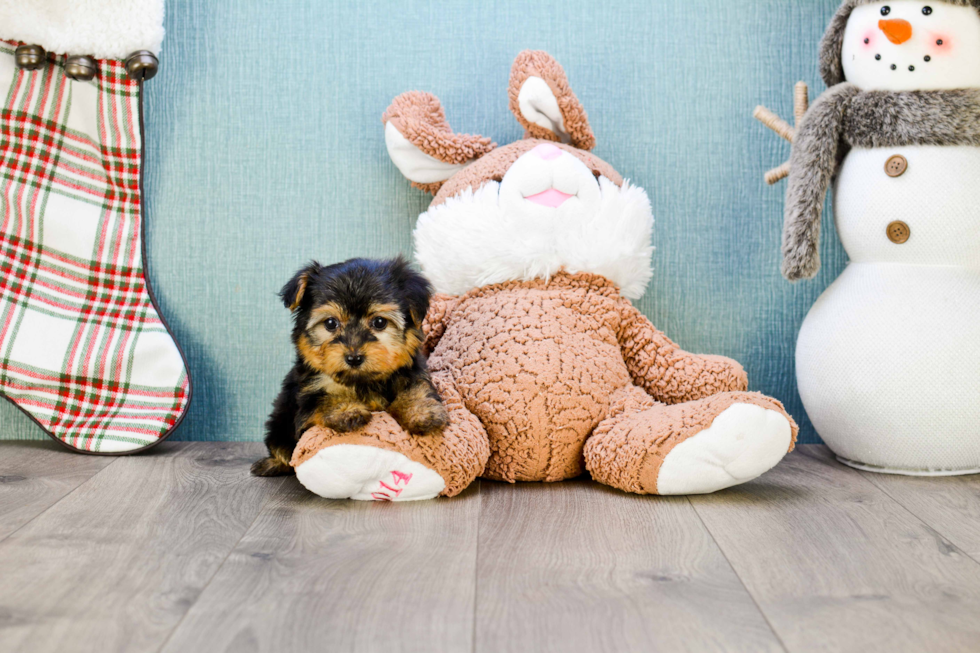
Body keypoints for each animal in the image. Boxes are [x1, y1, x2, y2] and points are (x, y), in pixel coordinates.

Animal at [253, 258, 452, 476]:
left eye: (379, 322)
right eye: (330, 323)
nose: (354, 357)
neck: (363, 380)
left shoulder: (412, 373)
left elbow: (416, 390)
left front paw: (424, 413)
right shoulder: (309, 395)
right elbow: (325, 399)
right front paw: (347, 412)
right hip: (280, 423)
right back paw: (272, 463)